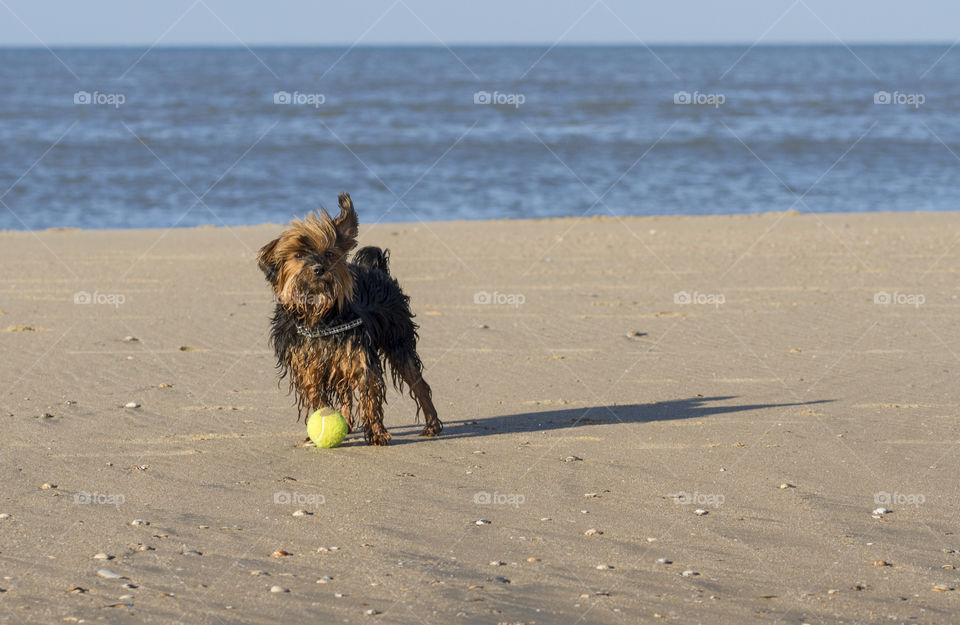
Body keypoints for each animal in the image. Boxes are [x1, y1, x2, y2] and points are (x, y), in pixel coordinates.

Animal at [260, 191, 444, 444]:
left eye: (329, 254)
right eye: (298, 255)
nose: (319, 269)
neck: (319, 317)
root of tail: (378, 269)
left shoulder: (358, 355)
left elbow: (369, 394)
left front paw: (376, 432)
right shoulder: (308, 364)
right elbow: (318, 396)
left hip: (397, 338)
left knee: (418, 382)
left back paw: (432, 424)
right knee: (345, 391)